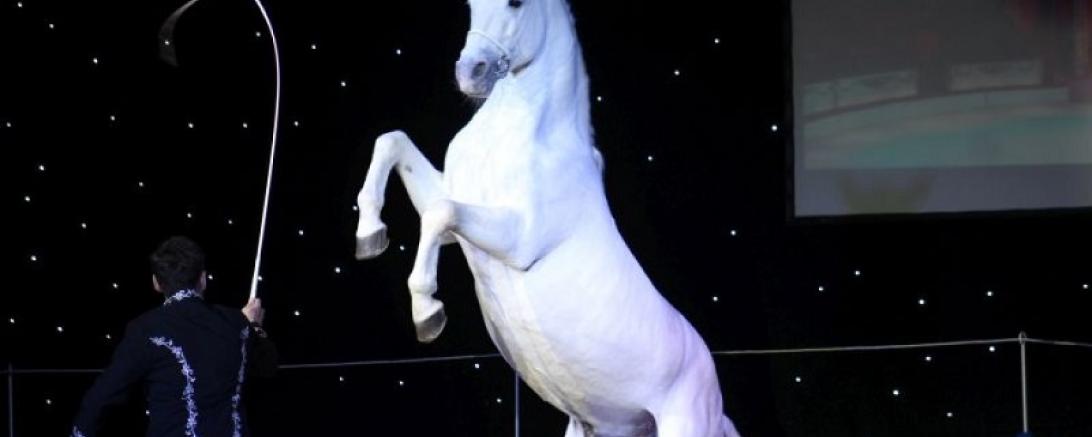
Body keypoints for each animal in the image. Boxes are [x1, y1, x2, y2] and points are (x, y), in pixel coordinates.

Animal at [354, 0, 740, 435]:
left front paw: (427, 312)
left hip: (684, 423)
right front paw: (369, 235)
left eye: (516, 3)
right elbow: (393, 143)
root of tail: (717, 405)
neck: (525, 137)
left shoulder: (517, 239)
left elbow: (440, 213)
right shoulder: (454, 211)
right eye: (471, 5)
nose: (471, 71)